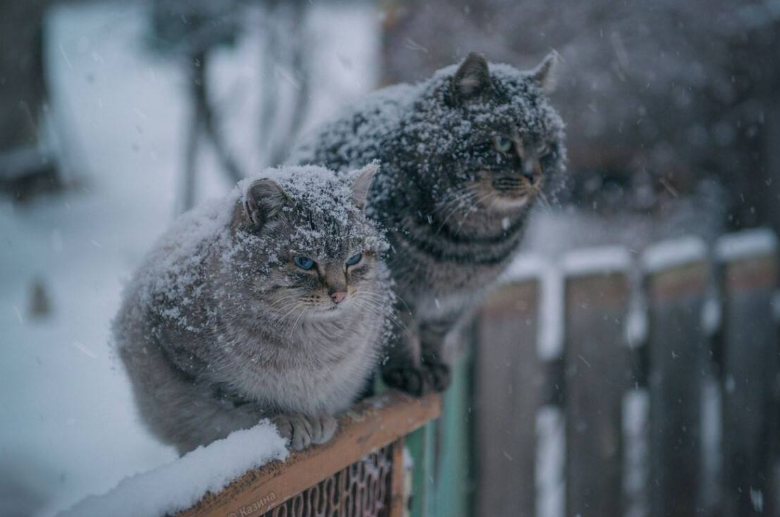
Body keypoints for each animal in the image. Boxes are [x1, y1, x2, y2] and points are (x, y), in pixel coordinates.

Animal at [112, 164, 394, 452]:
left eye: (354, 259)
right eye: (304, 262)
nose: (339, 295)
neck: (312, 340)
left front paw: (316, 418)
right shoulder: (194, 368)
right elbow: (246, 401)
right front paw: (291, 419)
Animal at [288, 52, 568, 394]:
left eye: (544, 147)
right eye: (503, 143)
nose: (534, 176)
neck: (472, 241)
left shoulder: (457, 300)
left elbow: (436, 333)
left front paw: (434, 367)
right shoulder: (395, 288)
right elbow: (400, 332)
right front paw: (407, 371)